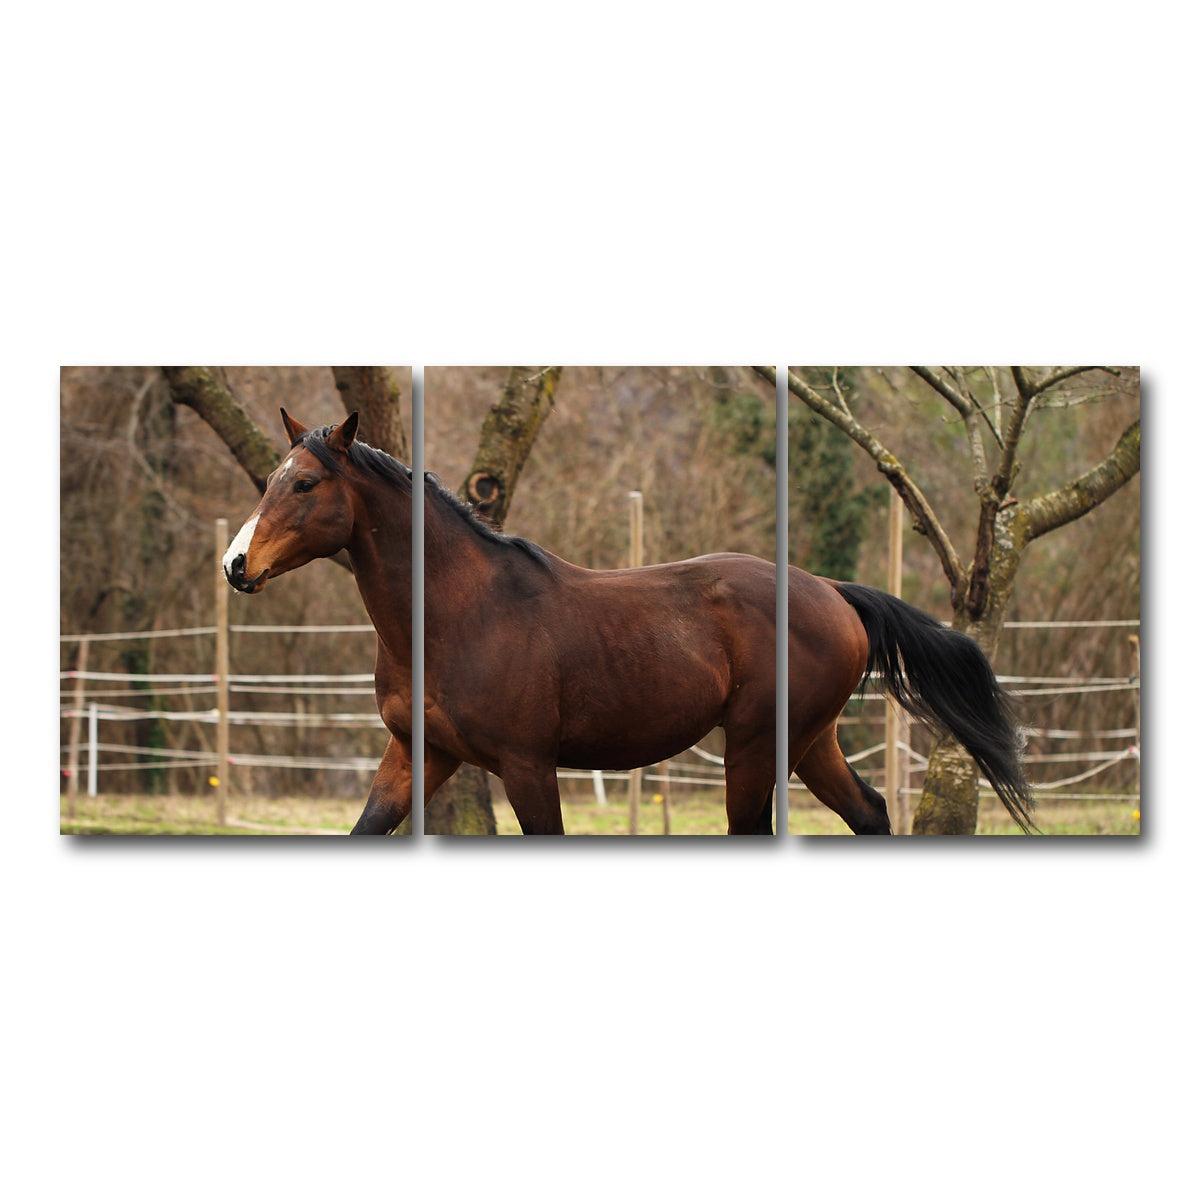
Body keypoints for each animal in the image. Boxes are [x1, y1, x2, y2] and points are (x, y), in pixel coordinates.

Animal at [223, 410, 1034, 835]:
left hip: (757, 747)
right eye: (268, 480)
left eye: (303, 484)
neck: (452, 614)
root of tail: (832, 593)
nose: (235, 565)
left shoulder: (527, 765)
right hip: (809, 742)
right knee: (868, 812)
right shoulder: (417, 755)